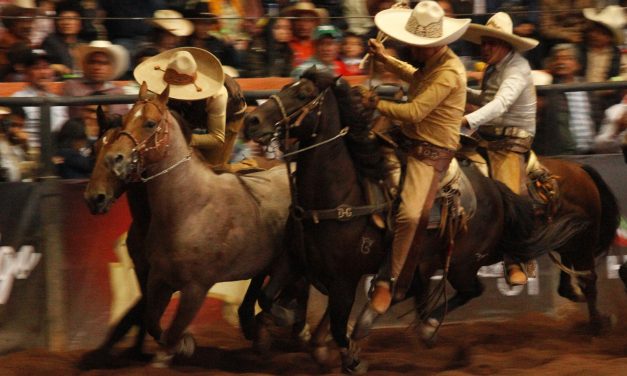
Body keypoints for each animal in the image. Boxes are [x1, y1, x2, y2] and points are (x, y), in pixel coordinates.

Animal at [242, 68, 588, 374]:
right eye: (284, 86)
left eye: (302, 94)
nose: (251, 120)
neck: (339, 196)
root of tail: (495, 189)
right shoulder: (292, 260)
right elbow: (266, 297)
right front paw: (289, 325)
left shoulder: (343, 280)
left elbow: (339, 326)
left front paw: (351, 358)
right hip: (425, 261)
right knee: (413, 290)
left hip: (462, 262)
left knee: (469, 289)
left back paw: (425, 327)